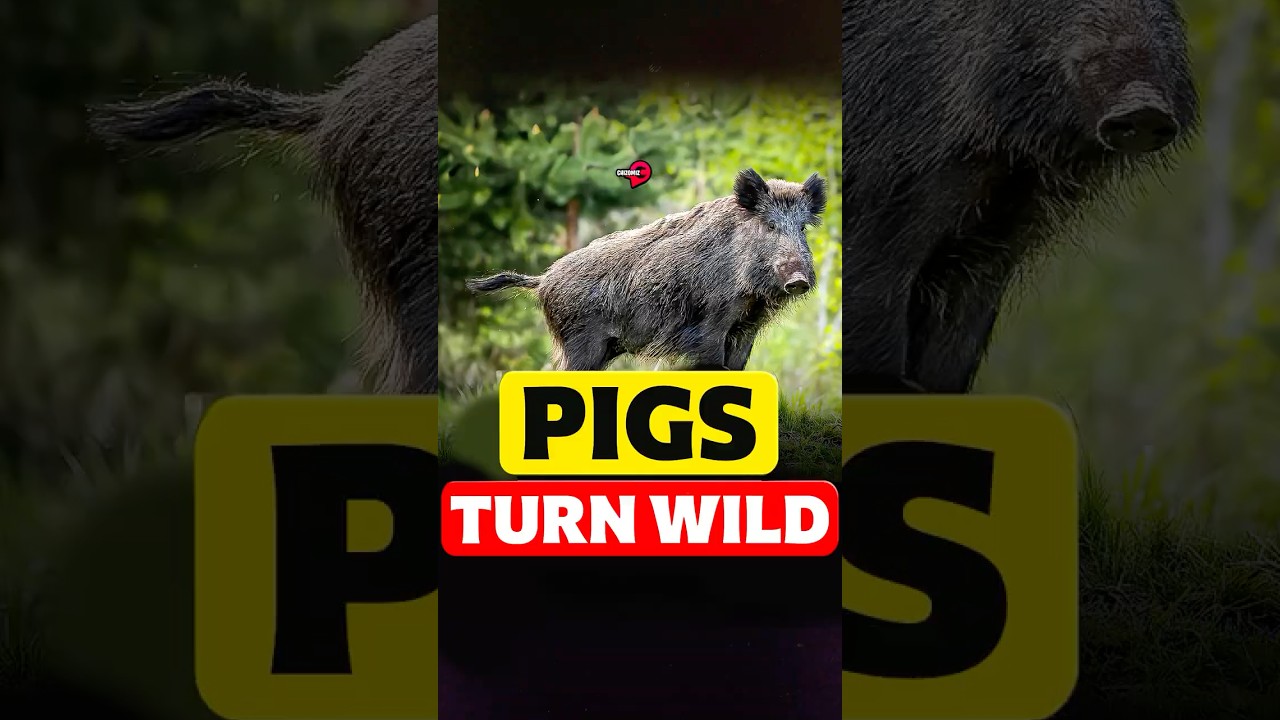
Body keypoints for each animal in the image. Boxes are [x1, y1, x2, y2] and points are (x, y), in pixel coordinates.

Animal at [466, 168, 826, 371]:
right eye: (769, 225)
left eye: (802, 228)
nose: (798, 279)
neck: (751, 296)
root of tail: (543, 279)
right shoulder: (710, 321)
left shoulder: (746, 328)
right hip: (580, 342)